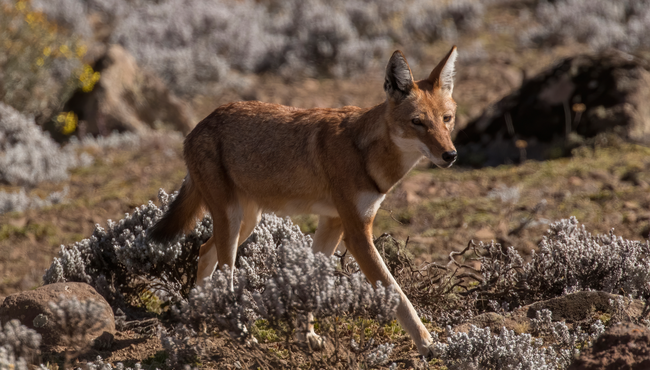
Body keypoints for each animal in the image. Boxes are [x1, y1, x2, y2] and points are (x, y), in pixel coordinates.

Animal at [149, 46, 458, 356]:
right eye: (417, 122)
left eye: (447, 119)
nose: (451, 155)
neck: (366, 153)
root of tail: (198, 126)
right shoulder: (357, 234)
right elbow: (398, 294)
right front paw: (428, 344)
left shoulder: (333, 223)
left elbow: (311, 282)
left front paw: (306, 336)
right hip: (233, 222)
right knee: (225, 276)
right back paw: (242, 334)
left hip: (246, 223)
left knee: (204, 251)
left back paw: (200, 320)